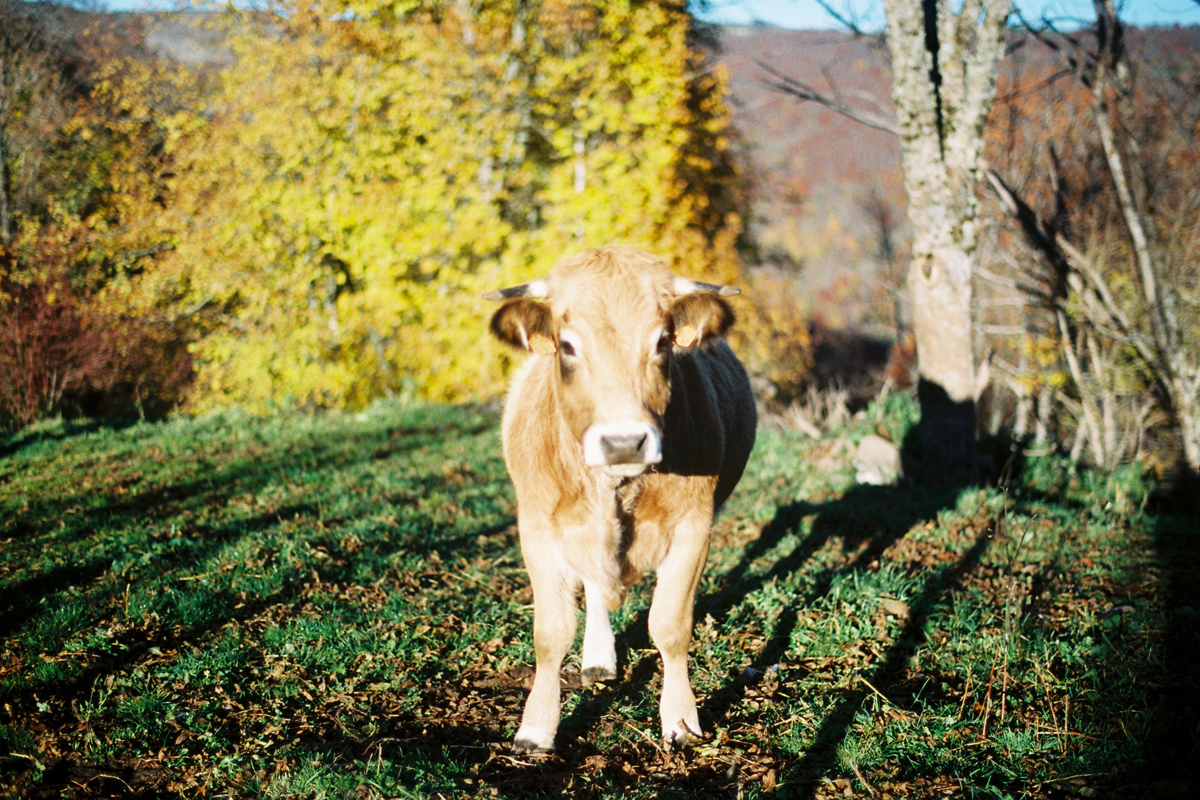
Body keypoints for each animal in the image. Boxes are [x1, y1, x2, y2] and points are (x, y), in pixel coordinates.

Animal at [482, 242, 753, 753]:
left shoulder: (695, 527)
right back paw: (598, 657)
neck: (614, 489)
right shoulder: (537, 528)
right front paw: (536, 726)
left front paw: (681, 719)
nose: (624, 441)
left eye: (662, 342)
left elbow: (669, 625)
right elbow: (550, 633)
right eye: (568, 346)